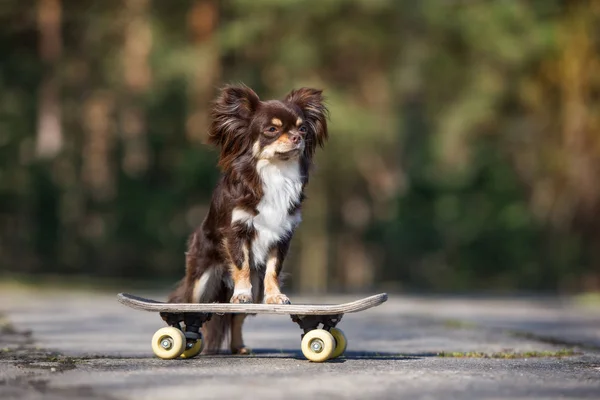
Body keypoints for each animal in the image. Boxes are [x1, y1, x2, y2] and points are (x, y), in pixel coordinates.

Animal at [168, 83, 328, 354]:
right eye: (272, 129)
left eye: (303, 128)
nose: (297, 138)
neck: (275, 173)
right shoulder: (237, 232)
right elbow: (241, 265)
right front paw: (242, 292)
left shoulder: (282, 236)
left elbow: (273, 270)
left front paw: (275, 297)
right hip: (202, 280)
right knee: (196, 312)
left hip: (254, 279)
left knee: (237, 315)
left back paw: (238, 347)